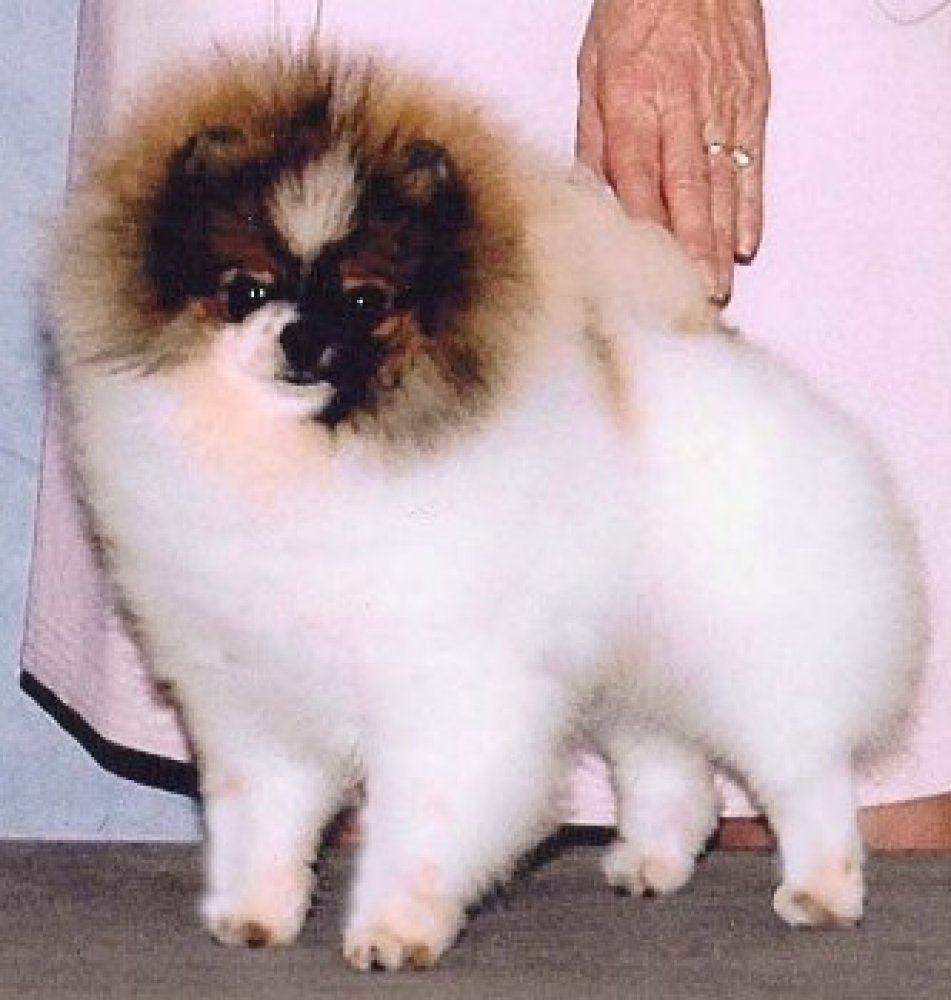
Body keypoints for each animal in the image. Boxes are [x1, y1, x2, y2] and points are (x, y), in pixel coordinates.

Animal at [50, 45, 927, 969]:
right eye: (246, 291)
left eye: (363, 300)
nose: (300, 336)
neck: (313, 459)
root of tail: (706, 346)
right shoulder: (256, 694)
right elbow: (264, 817)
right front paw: (255, 913)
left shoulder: (444, 687)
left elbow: (421, 827)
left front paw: (392, 931)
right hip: (634, 661)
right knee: (666, 763)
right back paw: (649, 863)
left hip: (752, 658)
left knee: (805, 775)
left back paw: (820, 890)